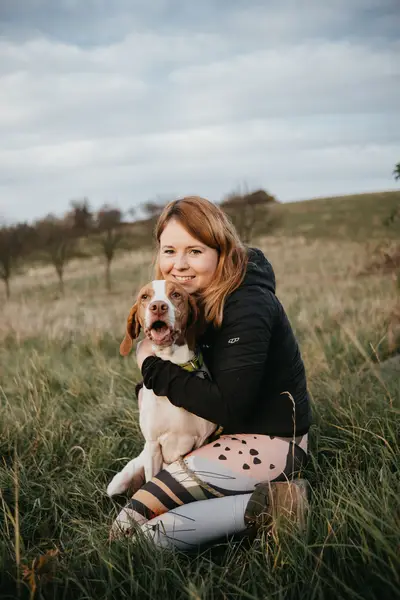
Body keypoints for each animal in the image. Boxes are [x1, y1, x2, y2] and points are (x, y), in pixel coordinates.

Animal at [106, 278, 216, 500]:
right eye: (145, 297)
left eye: (176, 294)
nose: (157, 306)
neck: (174, 365)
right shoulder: (153, 447)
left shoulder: (202, 442)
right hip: (117, 483)